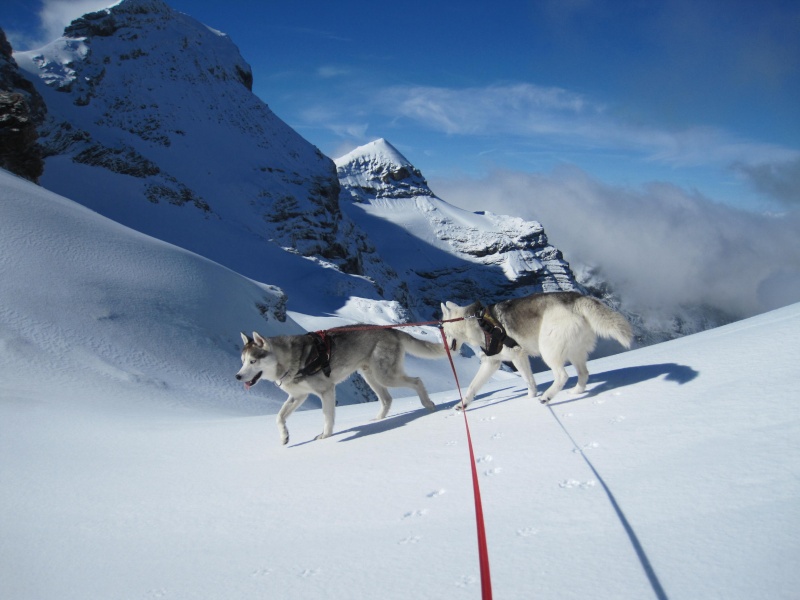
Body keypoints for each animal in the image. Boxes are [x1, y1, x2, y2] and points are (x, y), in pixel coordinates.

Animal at [234, 326, 446, 442]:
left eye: (253, 361)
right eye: (242, 361)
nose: (237, 376)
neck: (289, 361)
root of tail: (390, 329)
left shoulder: (326, 390)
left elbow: (327, 417)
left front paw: (325, 437)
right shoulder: (298, 396)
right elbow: (279, 417)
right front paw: (284, 436)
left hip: (385, 376)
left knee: (417, 381)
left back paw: (428, 405)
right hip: (371, 377)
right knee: (387, 399)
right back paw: (377, 420)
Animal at [438, 292, 632, 408]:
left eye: (444, 331)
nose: (444, 346)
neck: (477, 322)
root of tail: (575, 298)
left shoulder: (516, 356)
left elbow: (527, 379)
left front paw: (531, 397)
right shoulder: (492, 362)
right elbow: (473, 386)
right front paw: (463, 404)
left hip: (548, 351)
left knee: (562, 376)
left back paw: (547, 396)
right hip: (574, 352)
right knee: (583, 373)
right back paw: (576, 392)